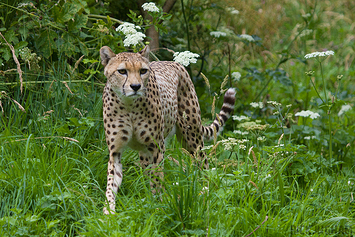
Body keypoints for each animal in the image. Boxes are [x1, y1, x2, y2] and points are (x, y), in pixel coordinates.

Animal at [99, 45, 236, 214]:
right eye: (122, 71)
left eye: (143, 71)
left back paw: (205, 190)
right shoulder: (115, 151)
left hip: (192, 137)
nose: (136, 87)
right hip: (146, 153)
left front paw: (158, 205)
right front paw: (108, 211)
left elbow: (157, 178)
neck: (129, 105)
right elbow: (111, 183)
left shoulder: (157, 147)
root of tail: (173, 62)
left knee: (203, 163)